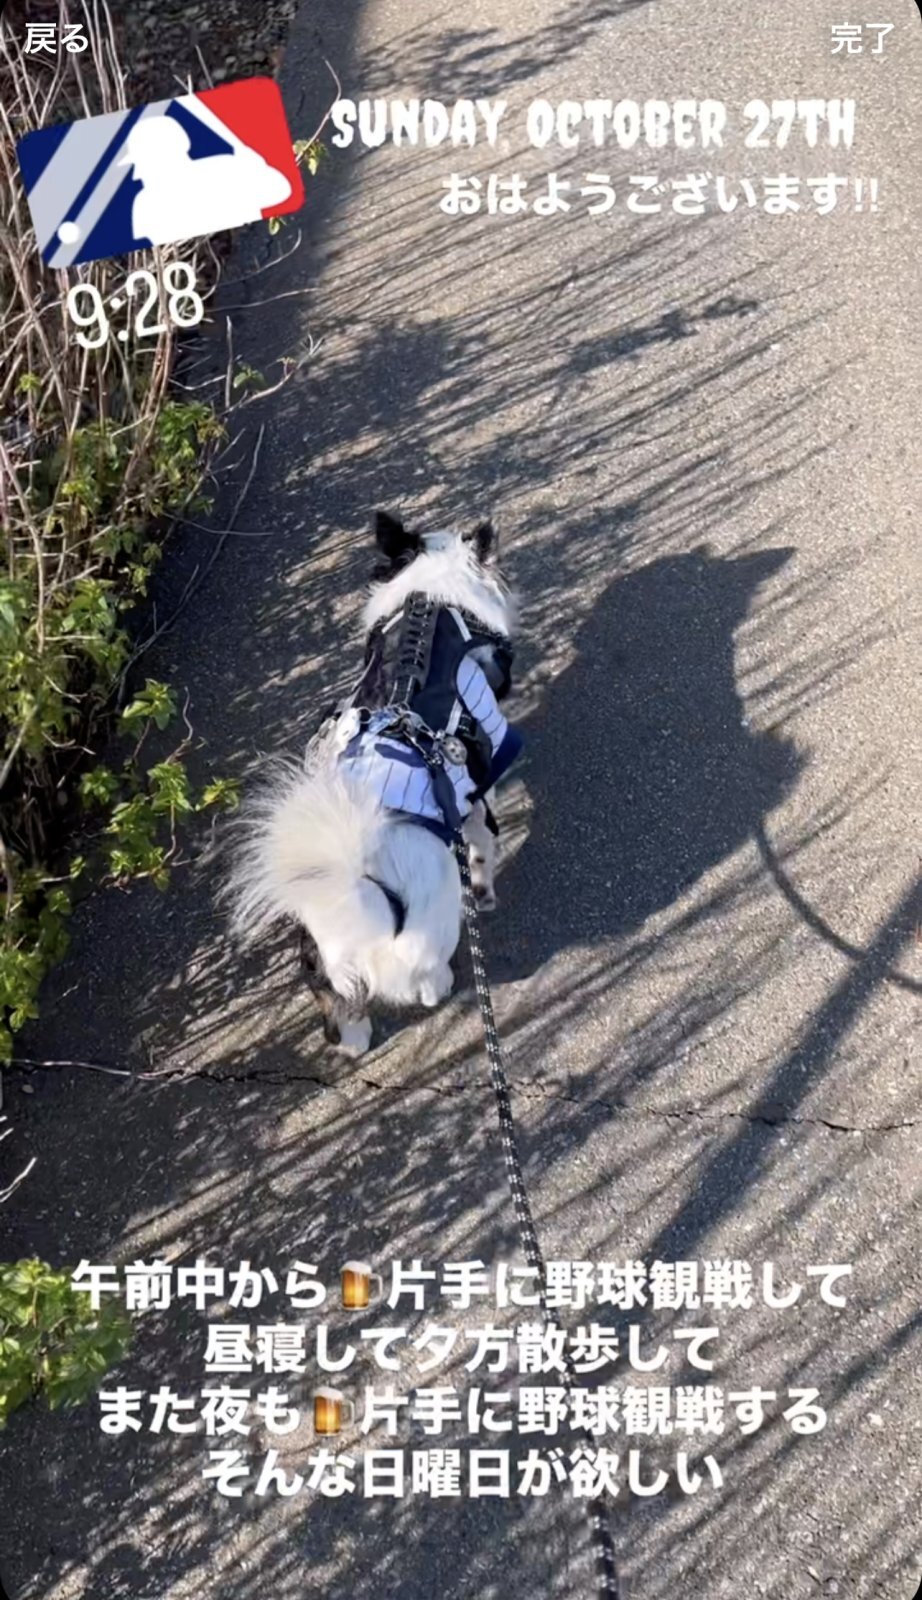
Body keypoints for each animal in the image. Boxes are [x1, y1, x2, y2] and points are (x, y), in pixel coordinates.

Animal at [225, 512, 518, 1056]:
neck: (429, 604)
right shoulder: (476, 784)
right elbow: (484, 844)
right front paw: (485, 888)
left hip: (318, 965)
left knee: (342, 1017)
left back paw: (353, 1040)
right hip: (431, 933)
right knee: (426, 985)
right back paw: (445, 982)